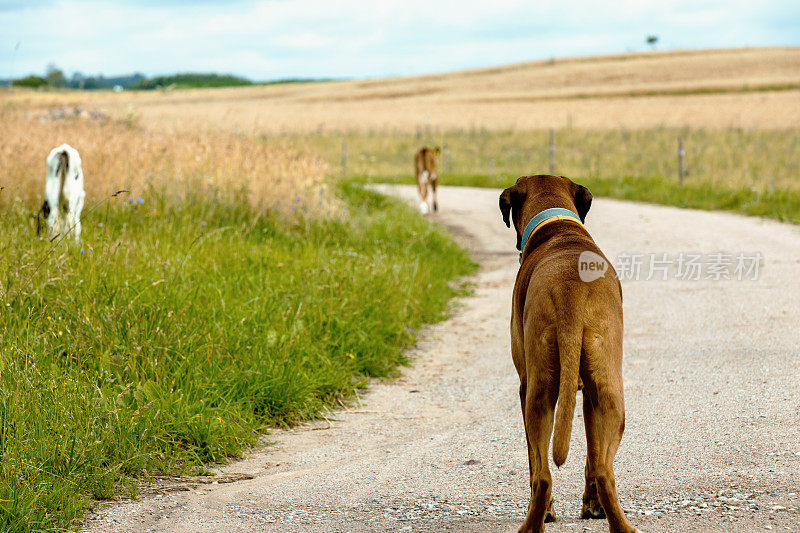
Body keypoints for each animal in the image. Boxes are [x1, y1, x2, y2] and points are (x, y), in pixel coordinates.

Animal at [500, 176, 636, 532]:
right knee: (601, 470)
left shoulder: (525, 385)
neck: (557, 227)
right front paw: (592, 506)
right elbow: (591, 453)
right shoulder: (589, 393)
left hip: (538, 394)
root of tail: (569, 289)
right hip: (607, 395)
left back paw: (538, 519)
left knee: (543, 475)